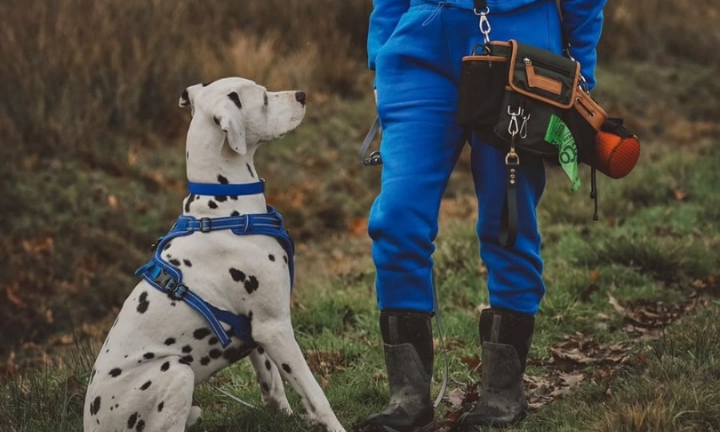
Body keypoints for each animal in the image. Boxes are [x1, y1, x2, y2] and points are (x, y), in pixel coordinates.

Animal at [81, 77, 346, 432]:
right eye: (264, 99)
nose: (302, 95)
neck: (224, 210)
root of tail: (92, 424)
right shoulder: (274, 327)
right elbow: (316, 394)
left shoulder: (256, 333)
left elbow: (274, 387)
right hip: (176, 373)